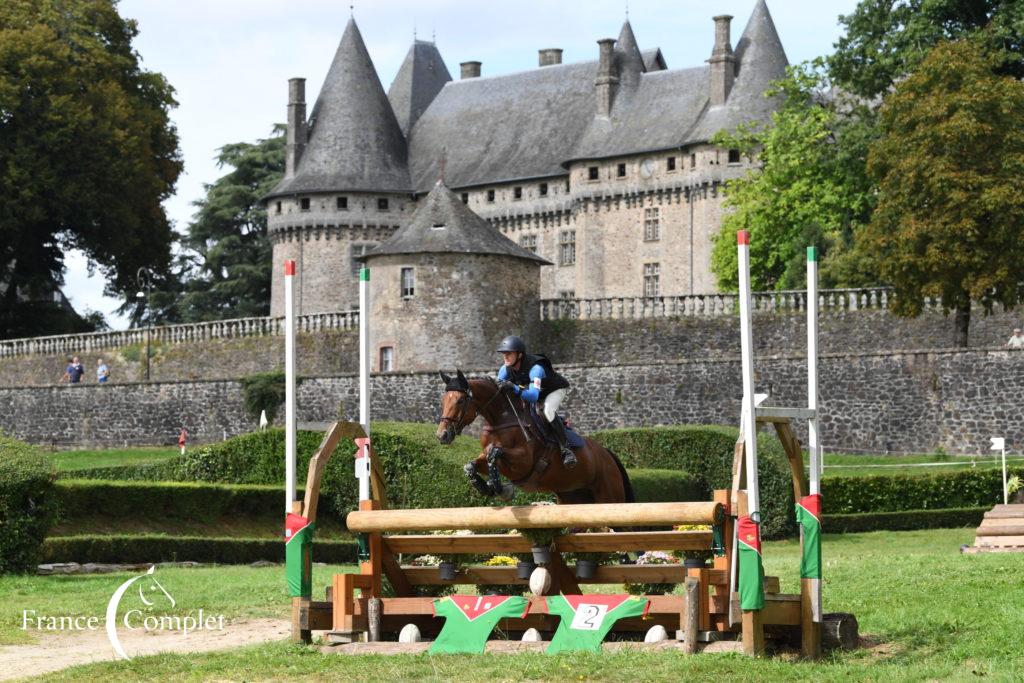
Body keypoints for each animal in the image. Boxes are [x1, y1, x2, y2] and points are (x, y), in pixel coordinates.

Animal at [436, 370, 634, 505]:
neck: (501, 419)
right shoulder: (485, 457)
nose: (442, 435)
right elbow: (470, 465)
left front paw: (500, 488)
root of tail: (607, 453)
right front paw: (486, 487)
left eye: (460, 400)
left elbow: (495, 452)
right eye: (443, 401)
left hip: (609, 497)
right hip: (573, 497)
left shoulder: (524, 462)